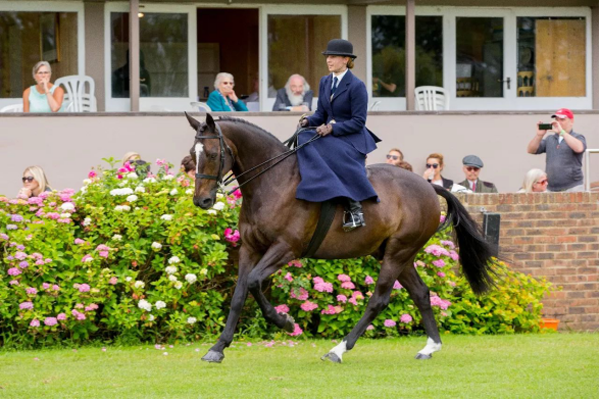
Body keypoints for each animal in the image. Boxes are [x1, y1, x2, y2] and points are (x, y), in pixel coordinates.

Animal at [185, 112, 494, 362]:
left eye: (211, 154)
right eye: (192, 154)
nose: (202, 201)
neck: (272, 182)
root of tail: (430, 187)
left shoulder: (285, 248)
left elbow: (253, 282)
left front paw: (285, 322)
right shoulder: (250, 248)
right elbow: (239, 294)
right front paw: (218, 348)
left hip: (398, 253)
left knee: (378, 299)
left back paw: (338, 349)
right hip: (397, 254)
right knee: (420, 293)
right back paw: (430, 347)